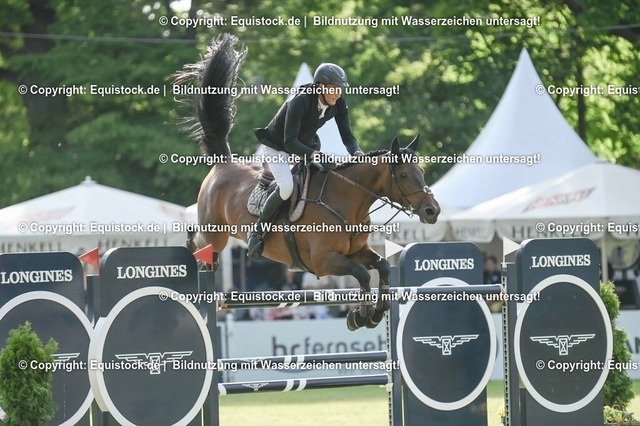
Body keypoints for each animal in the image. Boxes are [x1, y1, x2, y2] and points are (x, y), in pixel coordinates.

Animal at [174, 34, 440, 330]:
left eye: (422, 172)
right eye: (403, 175)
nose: (432, 211)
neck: (347, 202)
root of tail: (224, 163)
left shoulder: (357, 251)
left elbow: (382, 266)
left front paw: (376, 313)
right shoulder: (323, 260)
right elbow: (361, 274)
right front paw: (361, 316)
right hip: (216, 233)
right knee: (199, 243)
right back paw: (196, 255)